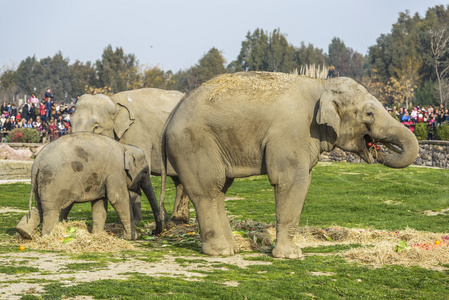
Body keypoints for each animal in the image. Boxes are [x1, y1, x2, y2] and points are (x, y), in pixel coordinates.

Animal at [67, 88, 191, 226]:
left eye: (96, 126)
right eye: (70, 123)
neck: (114, 101)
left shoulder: (137, 133)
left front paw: (135, 221)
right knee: (179, 180)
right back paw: (177, 220)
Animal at [162, 72, 420, 258]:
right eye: (369, 114)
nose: (377, 149)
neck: (321, 84)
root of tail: (172, 114)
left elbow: (303, 181)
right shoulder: (291, 134)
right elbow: (291, 180)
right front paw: (291, 256)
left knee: (220, 189)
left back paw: (233, 248)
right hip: (194, 143)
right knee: (207, 189)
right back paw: (220, 252)